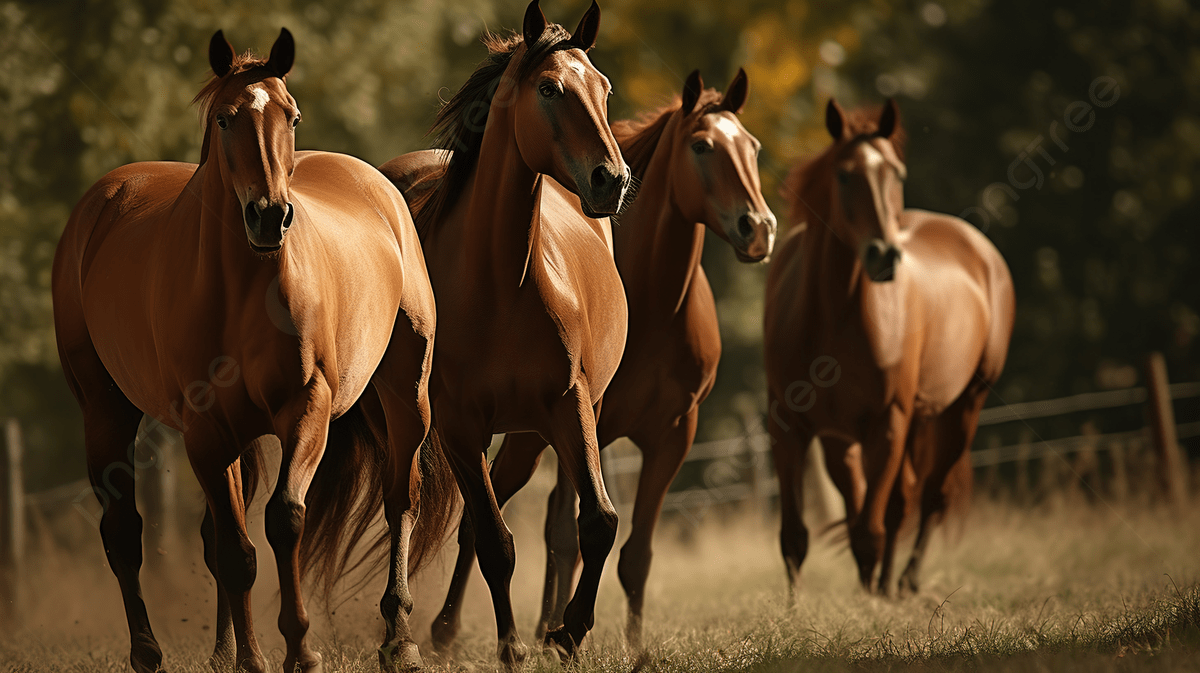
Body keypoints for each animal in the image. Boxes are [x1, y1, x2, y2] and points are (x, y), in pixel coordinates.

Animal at [51, 29, 453, 673]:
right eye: (224, 118)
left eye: (291, 114)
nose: (269, 216)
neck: (242, 285)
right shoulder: (206, 430)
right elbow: (235, 552)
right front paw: (255, 659)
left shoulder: (306, 407)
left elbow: (283, 520)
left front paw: (300, 651)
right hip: (105, 410)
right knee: (125, 531)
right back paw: (155, 652)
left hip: (405, 394)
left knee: (400, 502)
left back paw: (401, 642)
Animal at [376, 0, 629, 665]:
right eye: (549, 88)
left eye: (604, 88)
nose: (613, 179)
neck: (496, 287)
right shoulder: (459, 426)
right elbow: (496, 541)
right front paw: (513, 647)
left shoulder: (570, 407)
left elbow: (599, 522)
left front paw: (567, 633)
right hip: (408, 418)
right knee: (403, 503)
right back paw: (403, 633)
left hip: (528, 435)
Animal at [409, 68, 777, 651]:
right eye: (701, 146)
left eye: (754, 148)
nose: (758, 228)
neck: (657, 308)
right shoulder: (588, 423)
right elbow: (564, 533)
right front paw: (554, 629)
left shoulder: (674, 432)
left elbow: (634, 553)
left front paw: (631, 645)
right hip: (527, 436)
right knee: (488, 520)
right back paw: (456, 629)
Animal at [764, 99, 1014, 597]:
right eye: (844, 175)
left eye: (896, 174)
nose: (885, 256)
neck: (832, 314)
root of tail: (981, 251)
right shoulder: (795, 429)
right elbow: (798, 536)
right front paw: (796, 608)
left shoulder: (886, 424)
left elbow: (869, 529)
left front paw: (870, 602)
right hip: (877, 430)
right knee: (894, 500)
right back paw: (884, 584)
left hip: (962, 408)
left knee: (929, 497)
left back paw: (905, 583)